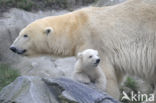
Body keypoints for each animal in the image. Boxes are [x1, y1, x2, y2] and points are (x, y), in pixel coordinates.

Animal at [10, 0, 156, 100]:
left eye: (25, 35)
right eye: (20, 33)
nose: (12, 47)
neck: (75, 27)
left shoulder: (93, 42)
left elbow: (104, 74)